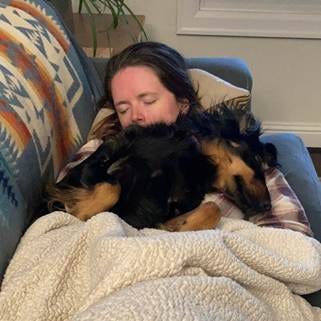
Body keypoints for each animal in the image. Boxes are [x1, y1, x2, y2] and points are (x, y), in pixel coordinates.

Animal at [47, 106, 276, 231]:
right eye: (256, 159)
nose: (268, 206)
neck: (198, 162)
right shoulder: (92, 164)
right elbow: (112, 188)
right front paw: (81, 213)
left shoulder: (167, 210)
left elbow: (213, 208)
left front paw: (182, 229)